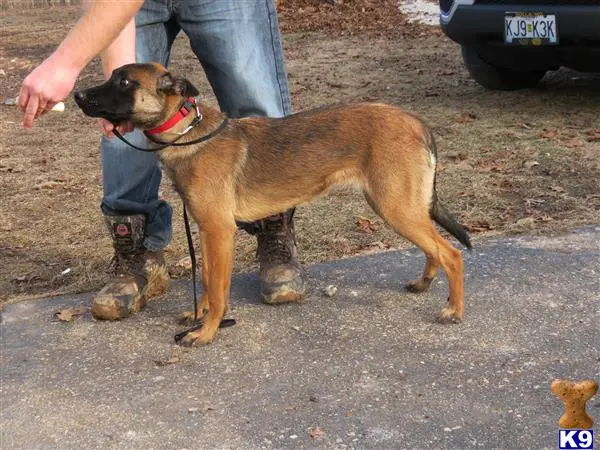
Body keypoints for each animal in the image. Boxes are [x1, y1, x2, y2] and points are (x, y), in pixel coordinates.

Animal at [75, 61, 472, 346]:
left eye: (124, 83)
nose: (77, 94)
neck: (187, 134)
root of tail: (415, 121)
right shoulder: (208, 231)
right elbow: (206, 277)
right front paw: (200, 315)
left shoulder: (220, 232)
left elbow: (218, 287)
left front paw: (208, 331)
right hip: (399, 207)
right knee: (434, 248)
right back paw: (424, 283)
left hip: (395, 207)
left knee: (450, 253)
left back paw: (453, 309)